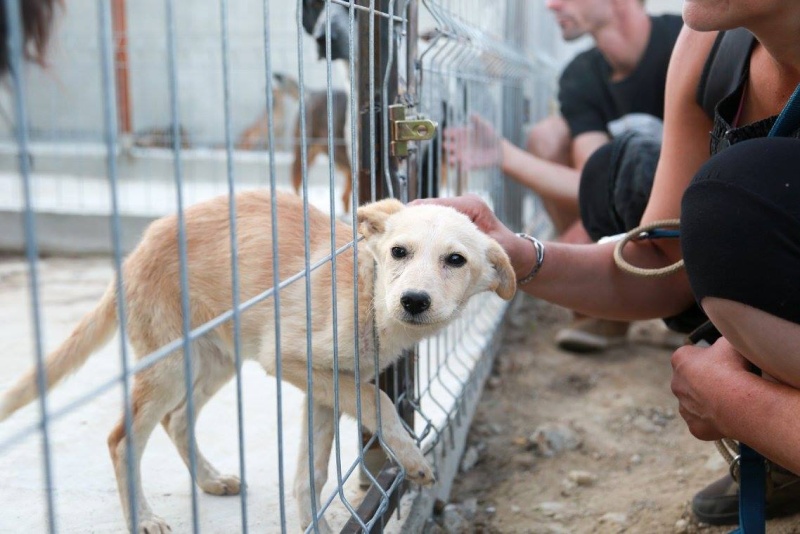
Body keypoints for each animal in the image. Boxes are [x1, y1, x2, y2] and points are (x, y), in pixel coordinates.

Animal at [0, 192, 516, 532]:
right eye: (398, 252)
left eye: (456, 260)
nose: (413, 301)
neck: (367, 292)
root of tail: (132, 256)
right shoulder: (288, 361)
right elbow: (380, 400)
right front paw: (412, 461)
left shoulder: (328, 385)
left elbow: (312, 472)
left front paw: (317, 527)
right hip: (170, 367)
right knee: (123, 438)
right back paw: (144, 518)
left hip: (214, 362)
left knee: (177, 420)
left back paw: (210, 480)